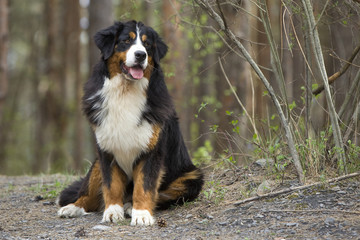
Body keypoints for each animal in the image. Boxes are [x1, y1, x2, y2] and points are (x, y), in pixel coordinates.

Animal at [56, 20, 202, 225]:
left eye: (147, 44)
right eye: (126, 40)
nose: (141, 55)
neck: (125, 91)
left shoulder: (151, 150)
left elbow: (145, 185)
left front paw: (141, 214)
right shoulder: (106, 149)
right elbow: (111, 185)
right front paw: (112, 212)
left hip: (192, 178)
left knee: (163, 194)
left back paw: (130, 206)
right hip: (96, 165)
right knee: (89, 193)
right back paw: (73, 207)